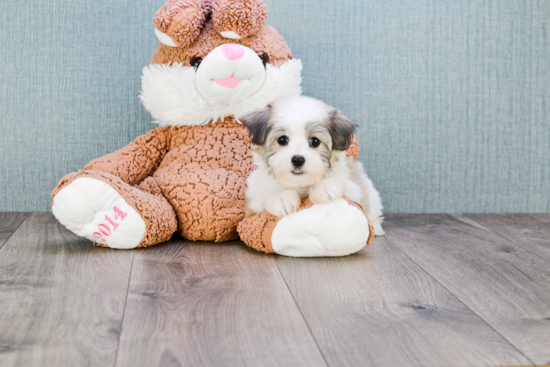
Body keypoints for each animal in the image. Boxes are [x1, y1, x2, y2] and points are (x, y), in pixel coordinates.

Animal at [244, 95, 386, 236]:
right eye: (282, 140)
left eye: (315, 141)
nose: (298, 160)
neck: (299, 183)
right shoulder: (253, 202)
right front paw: (281, 198)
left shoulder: (353, 188)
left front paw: (325, 187)